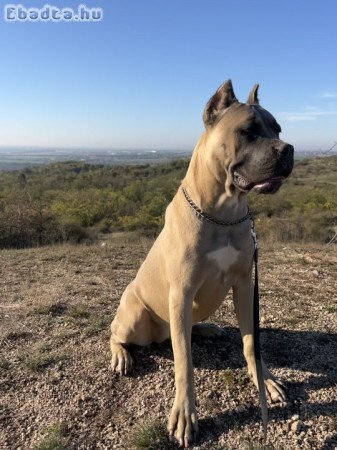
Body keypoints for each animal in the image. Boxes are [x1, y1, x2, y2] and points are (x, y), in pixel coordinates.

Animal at [109, 80, 292, 446]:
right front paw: (184, 414)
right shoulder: (181, 292)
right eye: (248, 130)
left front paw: (264, 381)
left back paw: (207, 328)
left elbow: (251, 344)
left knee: (186, 330)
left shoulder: (245, 285)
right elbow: (184, 363)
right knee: (116, 333)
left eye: (277, 129)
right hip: (135, 317)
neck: (223, 213)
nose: (288, 149)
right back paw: (121, 354)